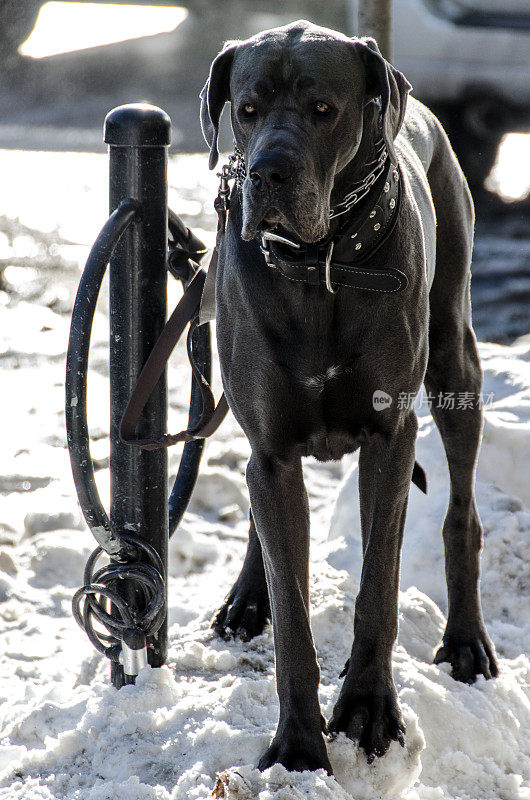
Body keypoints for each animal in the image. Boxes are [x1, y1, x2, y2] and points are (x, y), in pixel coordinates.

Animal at [197, 20, 496, 776]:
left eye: (323, 109)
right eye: (247, 109)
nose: (266, 174)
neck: (320, 264)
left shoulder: (391, 437)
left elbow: (378, 589)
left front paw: (366, 710)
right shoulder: (272, 447)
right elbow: (292, 610)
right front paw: (300, 745)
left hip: (456, 360)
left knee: (461, 513)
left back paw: (466, 642)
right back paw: (246, 598)